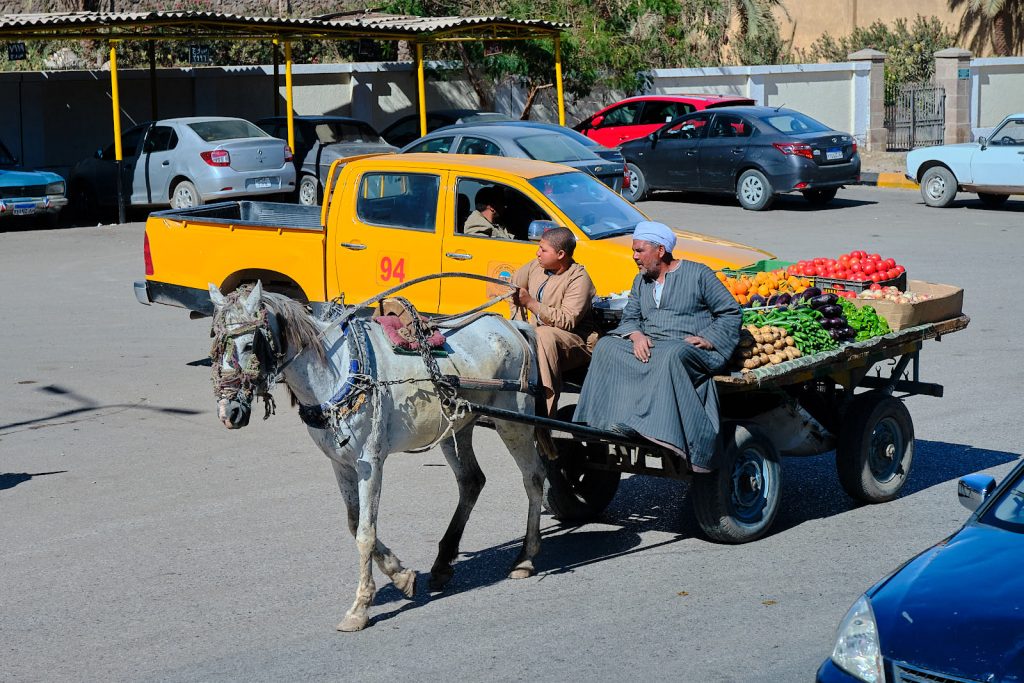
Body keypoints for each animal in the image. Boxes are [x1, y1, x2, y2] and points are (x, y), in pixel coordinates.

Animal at [203, 282, 548, 630]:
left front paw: (360, 608)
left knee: (533, 478)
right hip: (459, 424)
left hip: (513, 420)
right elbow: (354, 523)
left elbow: (365, 534)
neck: (338, 370)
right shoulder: (340, 463)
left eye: (249, 344)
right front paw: (401, 575)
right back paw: (442, 563)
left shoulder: (369, 462)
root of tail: (510, 325)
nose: (229, 413)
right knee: (472, 481)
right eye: (215, 346)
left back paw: (525, 558)